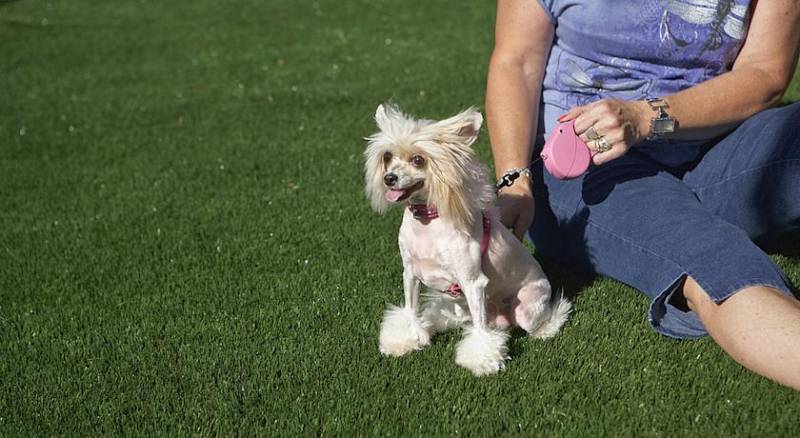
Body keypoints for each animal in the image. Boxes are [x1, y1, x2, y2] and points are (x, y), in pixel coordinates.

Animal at [362, 104, 568, 374]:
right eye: (387, 157)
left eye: (418, 159)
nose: (389, 178)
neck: (426, 221)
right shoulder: (410, 273)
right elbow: (409, 310)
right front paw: (406, 339)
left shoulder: (472, 283)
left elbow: (480, 332)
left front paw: (482, 360)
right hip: (461, 304)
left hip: (526, 309)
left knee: (539, 320)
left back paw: (551, 322)